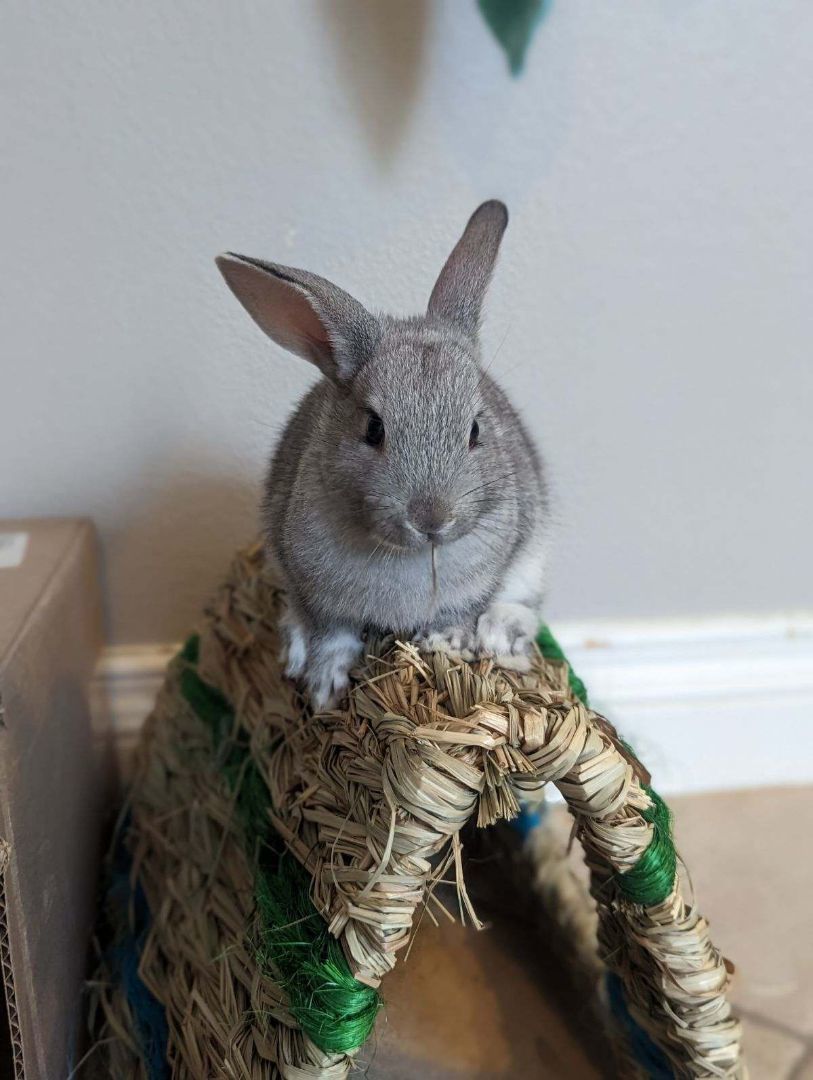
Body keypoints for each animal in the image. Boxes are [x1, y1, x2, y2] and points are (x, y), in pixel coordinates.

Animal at [216, 200, 548, 709]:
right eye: (373, 428)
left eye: (476, 429)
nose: (432, 520)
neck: (411, 555)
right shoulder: (317, 593)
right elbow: (333, 636)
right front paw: (325, 690)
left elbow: (462, 614)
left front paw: (447, 643)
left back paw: (499, 636)